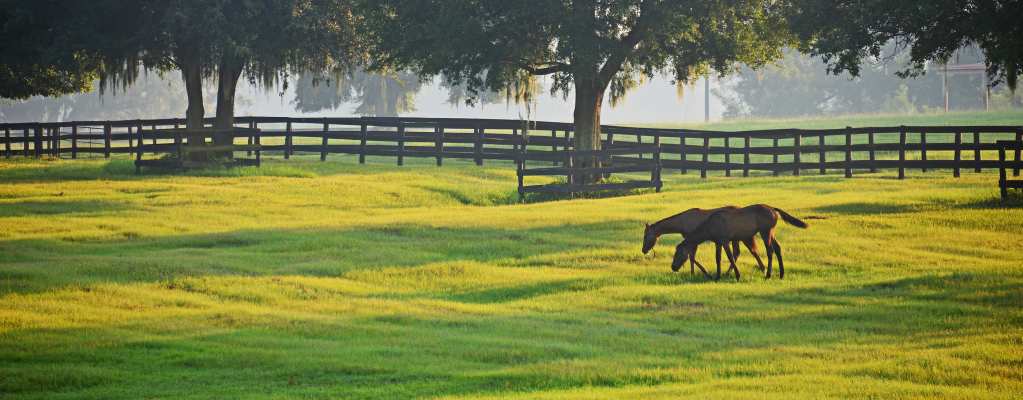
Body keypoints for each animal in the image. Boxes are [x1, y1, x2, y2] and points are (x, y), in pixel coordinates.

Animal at [638, 206, 769, 278]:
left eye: (645, 236)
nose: (643, 250)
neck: (682, 223)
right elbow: (691, 257)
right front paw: (694, 272)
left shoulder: (693, 240)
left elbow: (691, 257)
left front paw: (701, 273)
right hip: (736, 238)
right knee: (740, 252)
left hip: (741, 237)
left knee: (747, 251)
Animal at [671, 203, 806, 282]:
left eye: (678, 254)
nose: (673, 267)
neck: (709, 226)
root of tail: (774, 210)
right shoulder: (718, 242)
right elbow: (718, 258)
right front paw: (717, 276)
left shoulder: (725, 240)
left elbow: (730, 257)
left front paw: (737, 275)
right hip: (771, 232)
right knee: (777, 248)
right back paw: (781, 274)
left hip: (765, 231)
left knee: (770, 251)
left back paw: (768, 274)